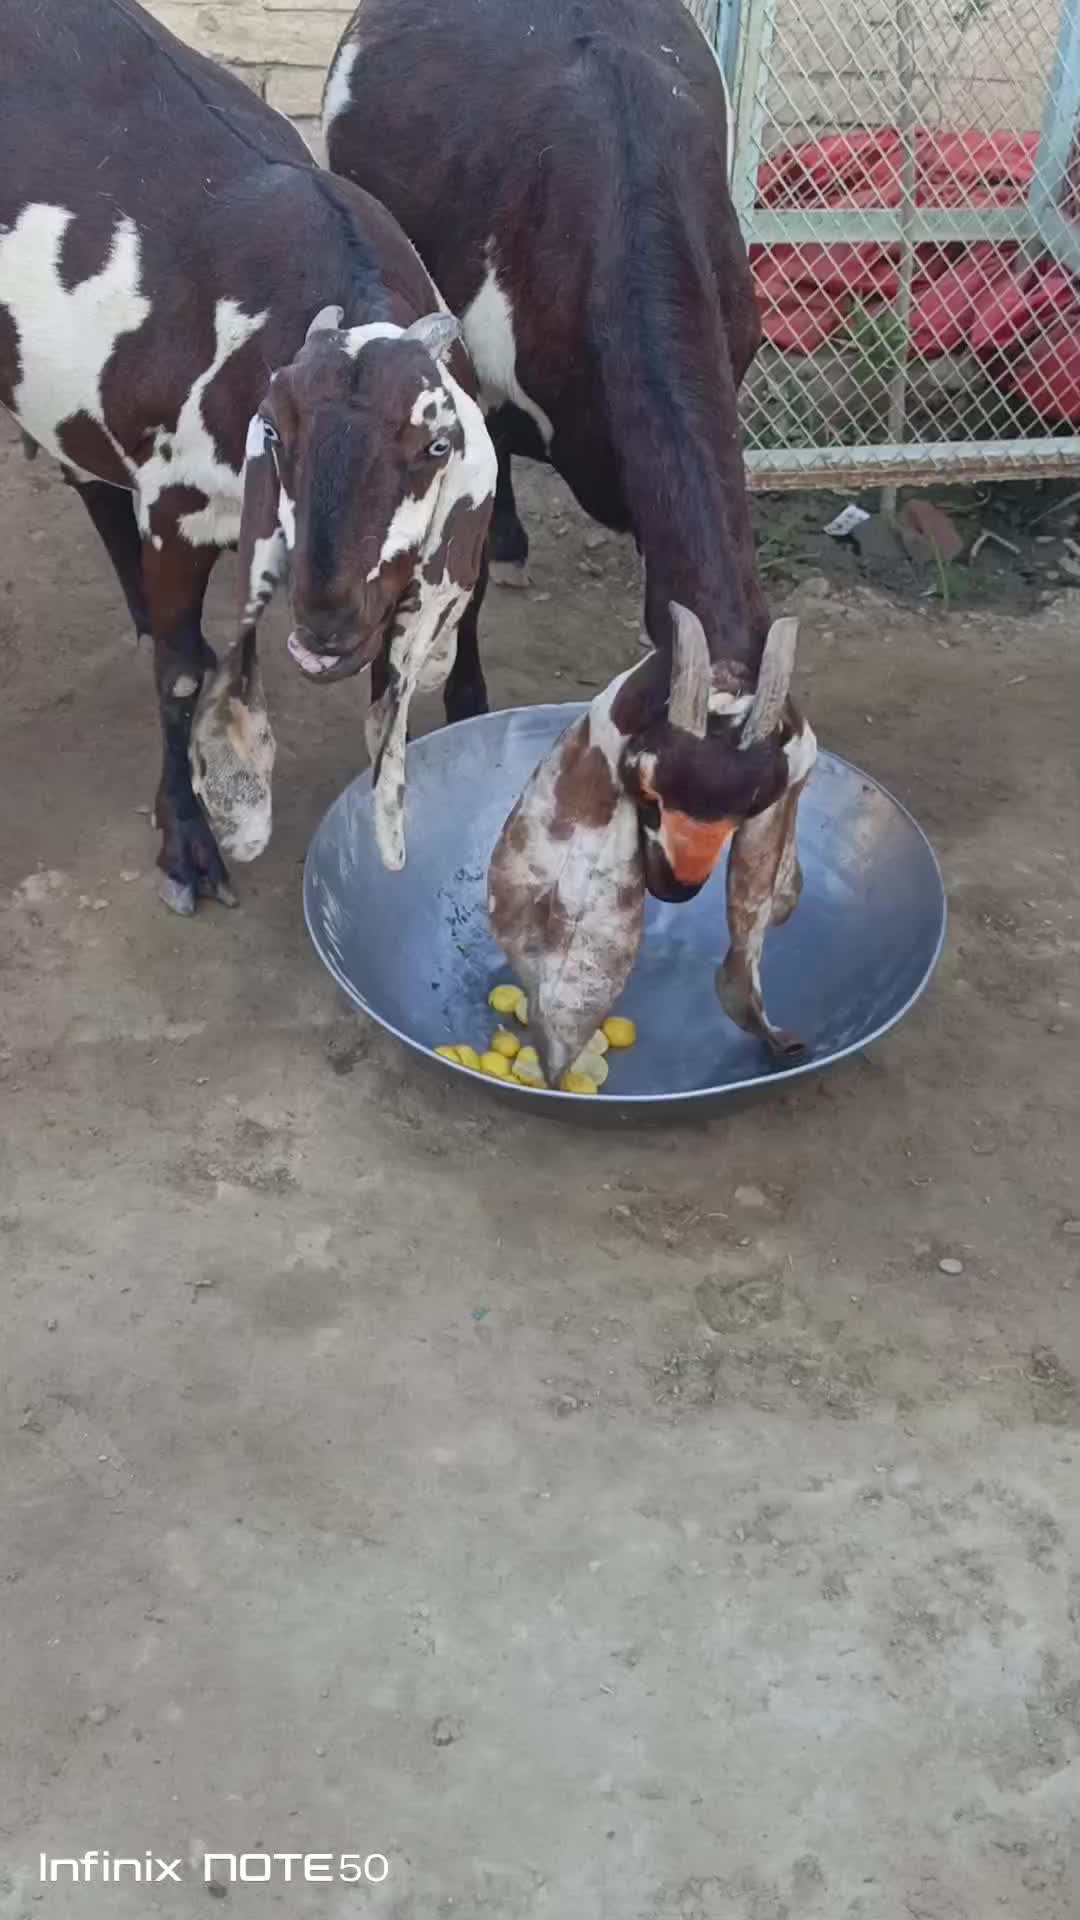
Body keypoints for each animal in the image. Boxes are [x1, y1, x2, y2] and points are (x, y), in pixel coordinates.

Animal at [0, 0, 494, 914]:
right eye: (277, 435)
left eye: (436, 444)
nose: (326, 620)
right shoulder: (176, 508)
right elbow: (179, 681)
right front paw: (186, 842)